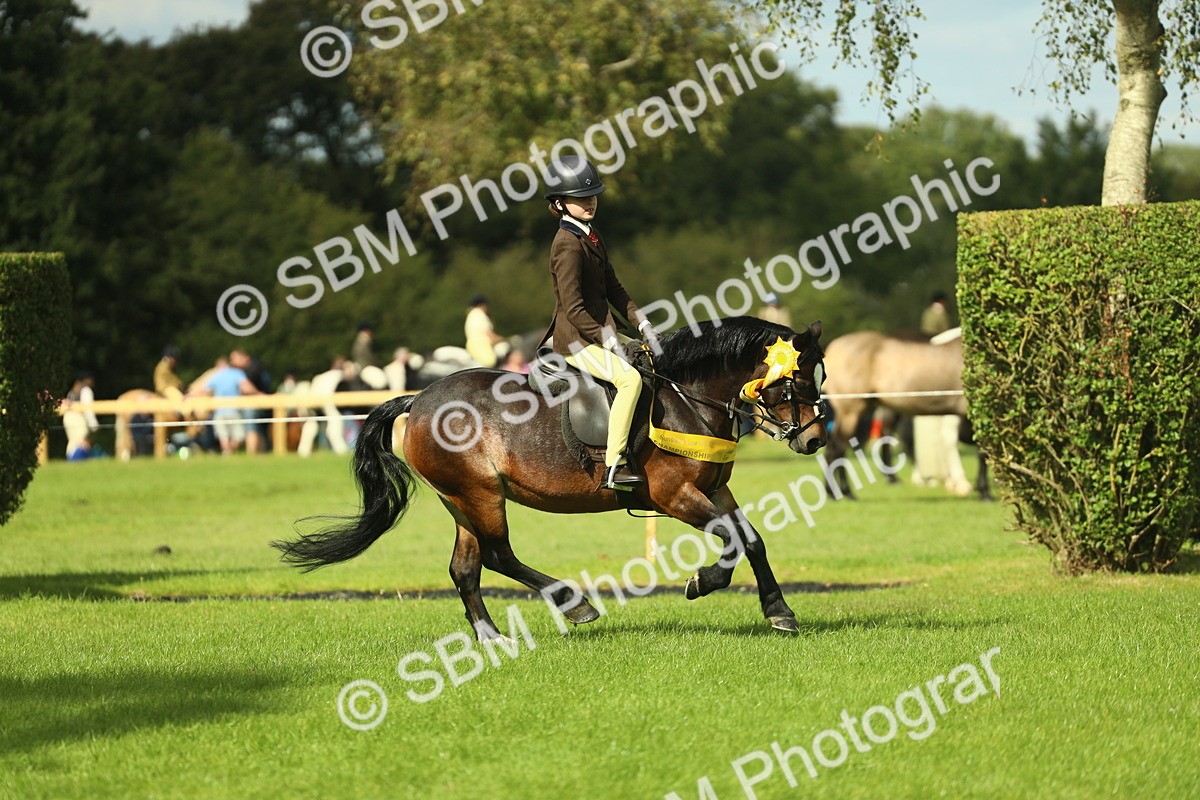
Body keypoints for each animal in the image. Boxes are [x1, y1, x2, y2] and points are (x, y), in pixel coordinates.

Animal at [273, 317, 829, 639]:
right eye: (797, 381)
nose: (814, 441)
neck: (685, 397)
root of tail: (420, 397)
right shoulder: (676, 496)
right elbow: (733, 543)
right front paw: (701, 582)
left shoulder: (716, 489)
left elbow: (752, 540)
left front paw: (779, 610)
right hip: (480, 495)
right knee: (498, 556)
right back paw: (574, 605)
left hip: (461, 500)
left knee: (465, 568)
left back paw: (491, 636)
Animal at [819, 328, 991, 499]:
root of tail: (835, 346)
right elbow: (983, 453)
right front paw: (985, 492)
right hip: (851, 411)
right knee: (839, 447)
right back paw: (845, 492)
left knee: (833, 447)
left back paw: (832, 491)